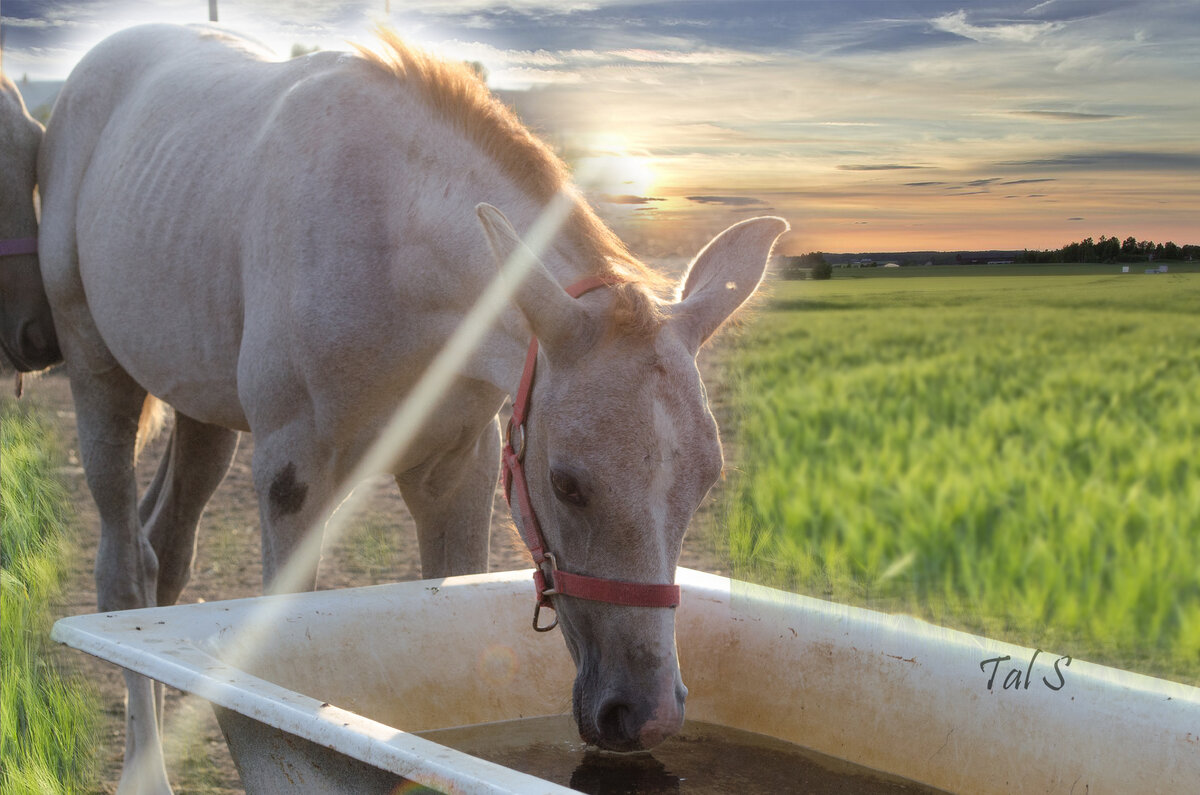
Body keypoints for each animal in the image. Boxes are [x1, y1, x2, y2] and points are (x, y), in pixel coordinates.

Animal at [37, 24, 782, 795]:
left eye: (707, 480)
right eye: (568, 483)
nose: (646, 715)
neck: (393, 243)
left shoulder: (455, 471)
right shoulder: (291, 474)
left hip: (203, 414)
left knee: (165, 553)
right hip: (99, 379)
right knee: (124, 569)